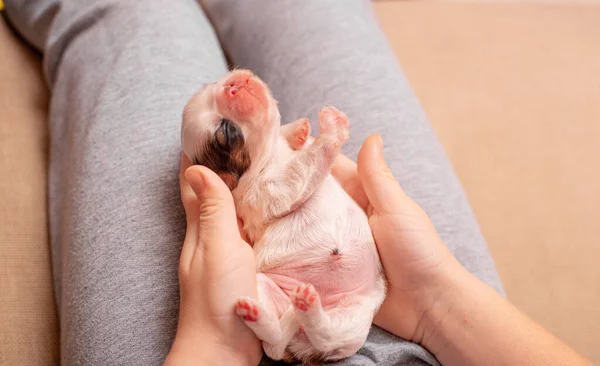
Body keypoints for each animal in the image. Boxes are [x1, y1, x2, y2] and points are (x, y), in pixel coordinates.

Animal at [182, 70, 384, 362]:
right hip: (261, 284)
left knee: (319, 335)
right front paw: (331, 128)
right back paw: (277, 311)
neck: (269, 156)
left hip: (353, 319)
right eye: (227, 132)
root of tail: (299, 346)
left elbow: (294, 141)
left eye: (211, 84)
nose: (233, 82)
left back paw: (296, 310)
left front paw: (298, 130)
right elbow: (304, 166)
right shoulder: (271, 190)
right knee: (279, 342)